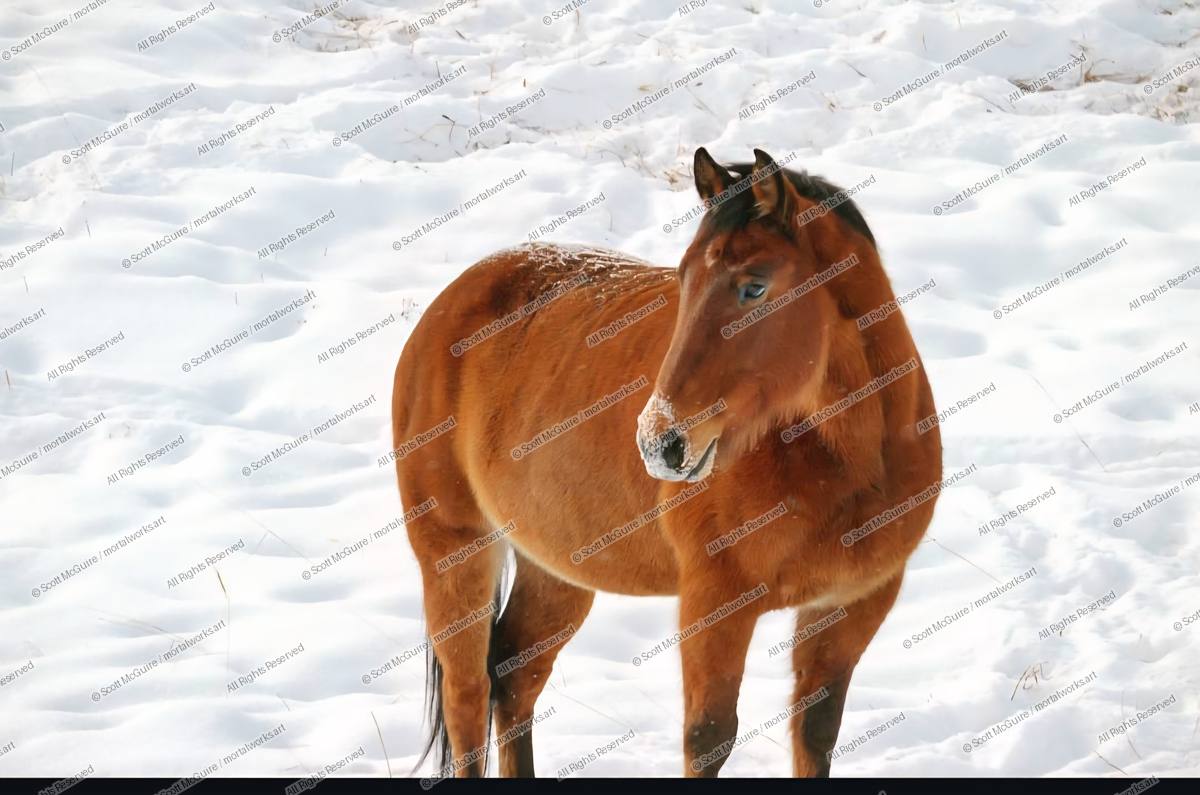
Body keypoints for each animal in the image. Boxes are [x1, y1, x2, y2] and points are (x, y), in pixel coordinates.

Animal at [390, 147, 942, 778]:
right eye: (683, 279)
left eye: (755, 288)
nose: (661, 443)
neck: (845, 462)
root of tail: (450, 302)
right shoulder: (715, 603)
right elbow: (708, 738)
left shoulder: (854, 604)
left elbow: (816, 732)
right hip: (455, 552)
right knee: (467, 699)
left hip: (556, 570)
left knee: (513, 675)